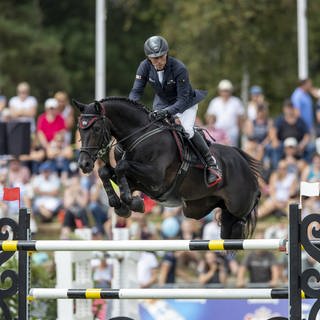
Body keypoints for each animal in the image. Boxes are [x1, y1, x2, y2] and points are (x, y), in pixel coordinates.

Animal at [74, 97, 260, 240]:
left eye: (97, 128)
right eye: (79, 129)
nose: (84, 164)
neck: (138, 136)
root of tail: (246, 166)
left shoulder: (155, 178)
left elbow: (121, 167)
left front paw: (131, 202)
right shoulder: (137, 181)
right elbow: (105, 172)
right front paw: (122, 205)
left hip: (237, 205)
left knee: (238, 220)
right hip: (195, 208)